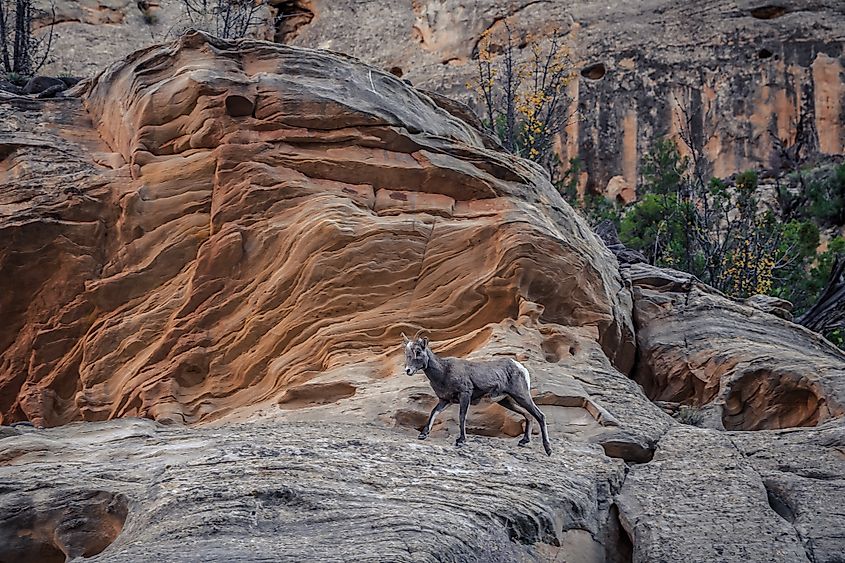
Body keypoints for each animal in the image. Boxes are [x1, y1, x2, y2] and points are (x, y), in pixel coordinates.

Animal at [402, 333, 552, 456]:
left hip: (521, 395)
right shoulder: (445, 400)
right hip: (506, 400)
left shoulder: (465, 395)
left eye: (418, 351)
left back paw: (548, 450)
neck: (443, 371)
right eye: (406, 353)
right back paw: (524, 441)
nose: (408, 370)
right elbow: (433, 412)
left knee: (540, 415)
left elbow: (462, 417)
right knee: (528, 415)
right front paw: (423, 435)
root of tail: (520, 367)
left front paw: (461, 440)